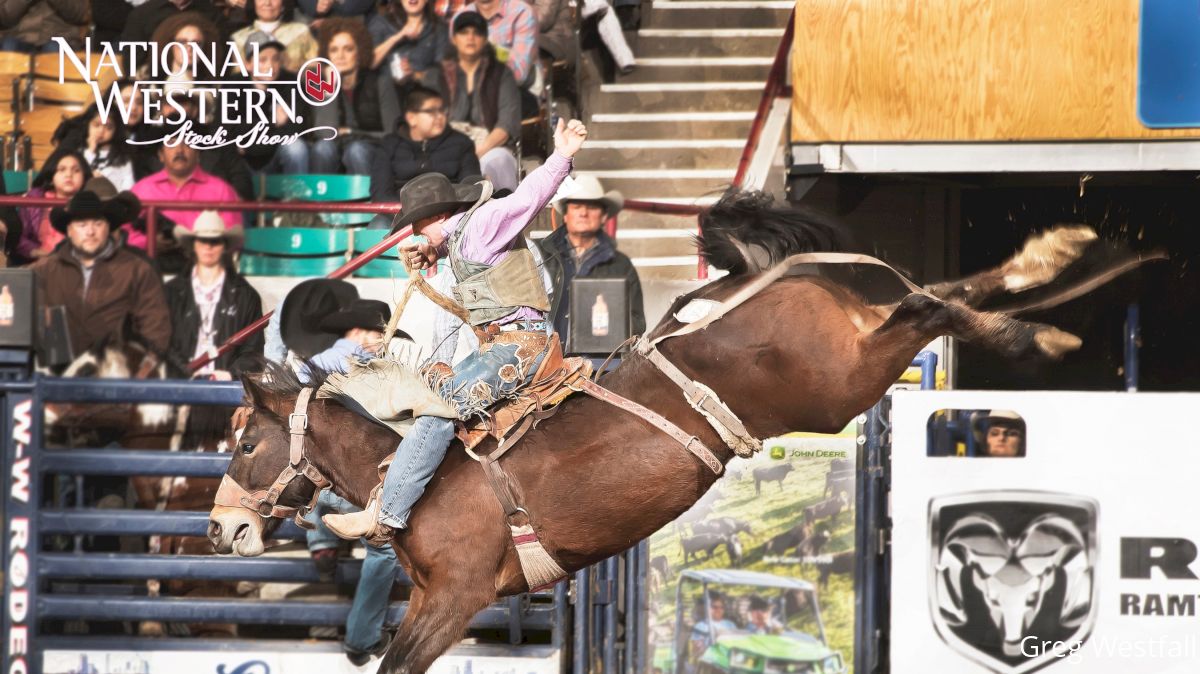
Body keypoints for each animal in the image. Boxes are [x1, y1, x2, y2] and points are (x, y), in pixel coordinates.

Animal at [206, 190, 1161, 671]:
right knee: (940, 291)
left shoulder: (455, 598)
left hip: (837, 383)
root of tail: (766, 286)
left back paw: (1040, 314)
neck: (412, 472)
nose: (220, 531)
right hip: (849, 348)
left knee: (930, 307)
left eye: (244, 444)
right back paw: (1062, 273)